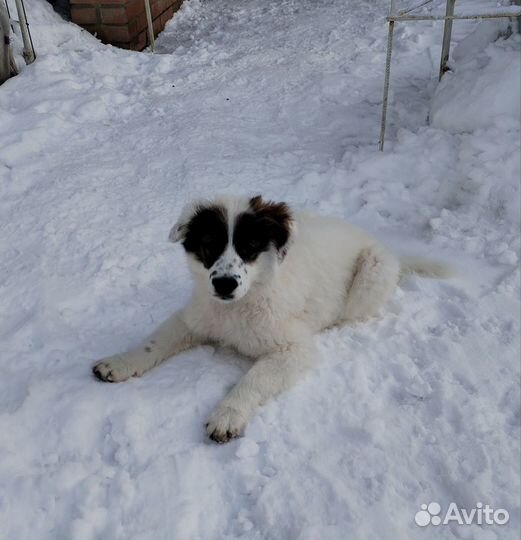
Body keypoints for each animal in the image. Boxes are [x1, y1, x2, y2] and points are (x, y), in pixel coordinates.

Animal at [91, 196, 448, 440]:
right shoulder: (195, 318)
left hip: (373, 270)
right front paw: (119, 362)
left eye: (249, 247)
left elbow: (255, 377)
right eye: (209, 245)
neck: (238, 306)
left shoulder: (294, 348)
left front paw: (228, 413)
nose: (224, 283)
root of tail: (384, 247)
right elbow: (153, 342)